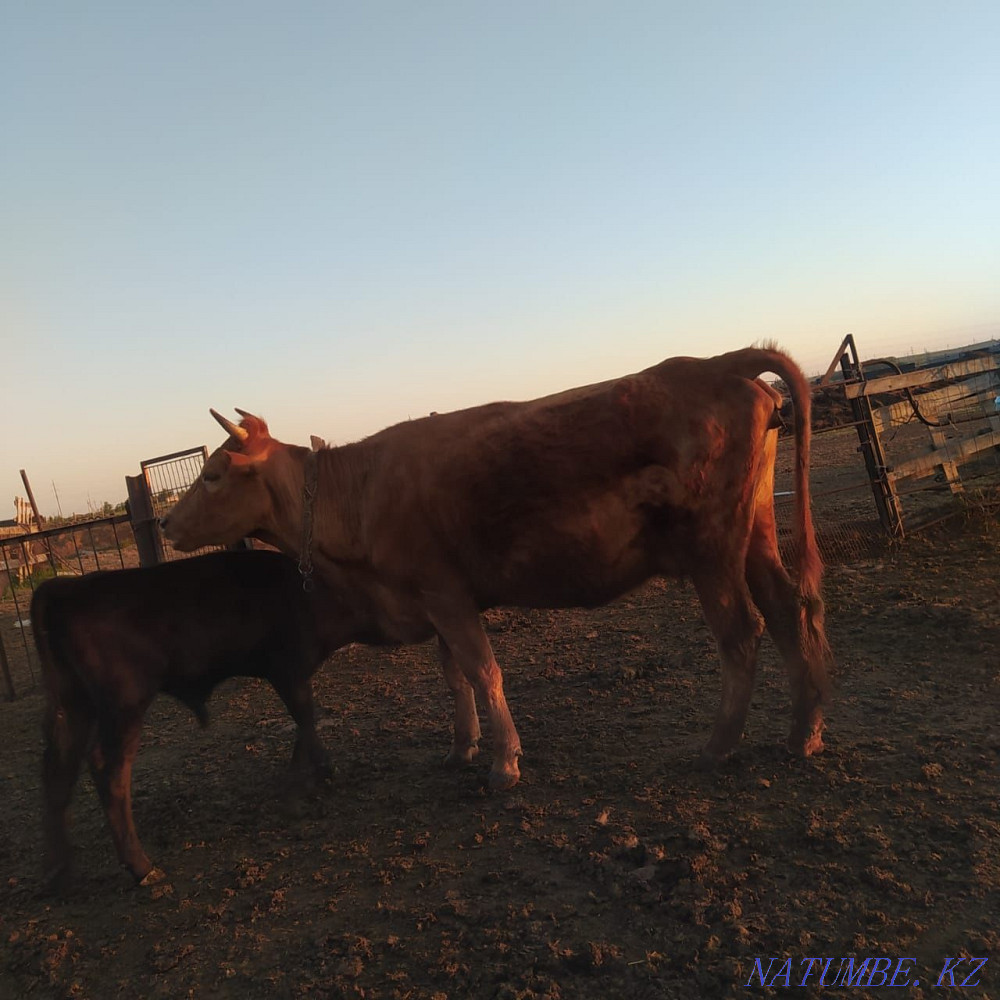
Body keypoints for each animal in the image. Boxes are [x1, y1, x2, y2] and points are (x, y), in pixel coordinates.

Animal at [33, 549, 360, 890]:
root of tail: (64, 588)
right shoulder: (289, 671)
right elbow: (305, 718)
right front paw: (319, 775)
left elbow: (303, 721)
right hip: (124, 707)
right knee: (108, 769)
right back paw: (142, 868)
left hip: (75, 706)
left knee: (58, 769)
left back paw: (58, 872)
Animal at [160, 345, 833, 792]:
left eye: (214, 473)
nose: (166, 526)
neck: (361, 493)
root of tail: (715, 361)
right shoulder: (435, 600)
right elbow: (455, 677)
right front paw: (462, 748)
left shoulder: (444, 594)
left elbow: (484, 671)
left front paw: (504, 762)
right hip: (755, 536)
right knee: (786, 612)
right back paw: (802, 735)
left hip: (711, 550)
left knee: (741, 634)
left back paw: (717, 748)